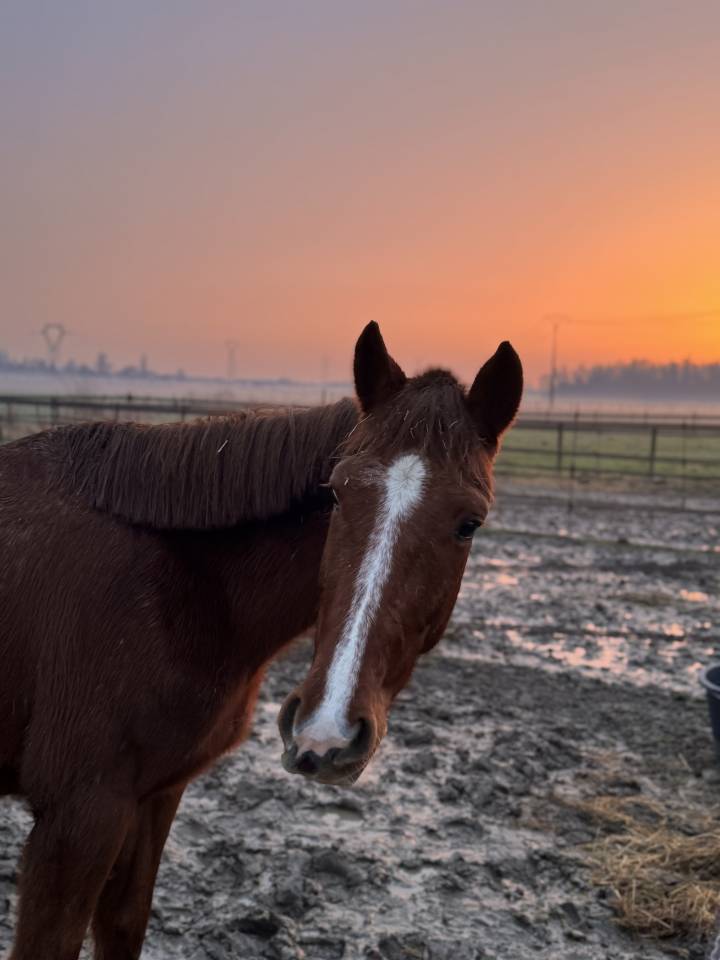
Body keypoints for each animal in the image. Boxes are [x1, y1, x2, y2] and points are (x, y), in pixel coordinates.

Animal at [0, 322, 522, 959]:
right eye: (336, 492)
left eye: (469, 524)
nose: (326, 732)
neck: (174, 582)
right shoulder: (78, 815)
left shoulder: (151, 799)